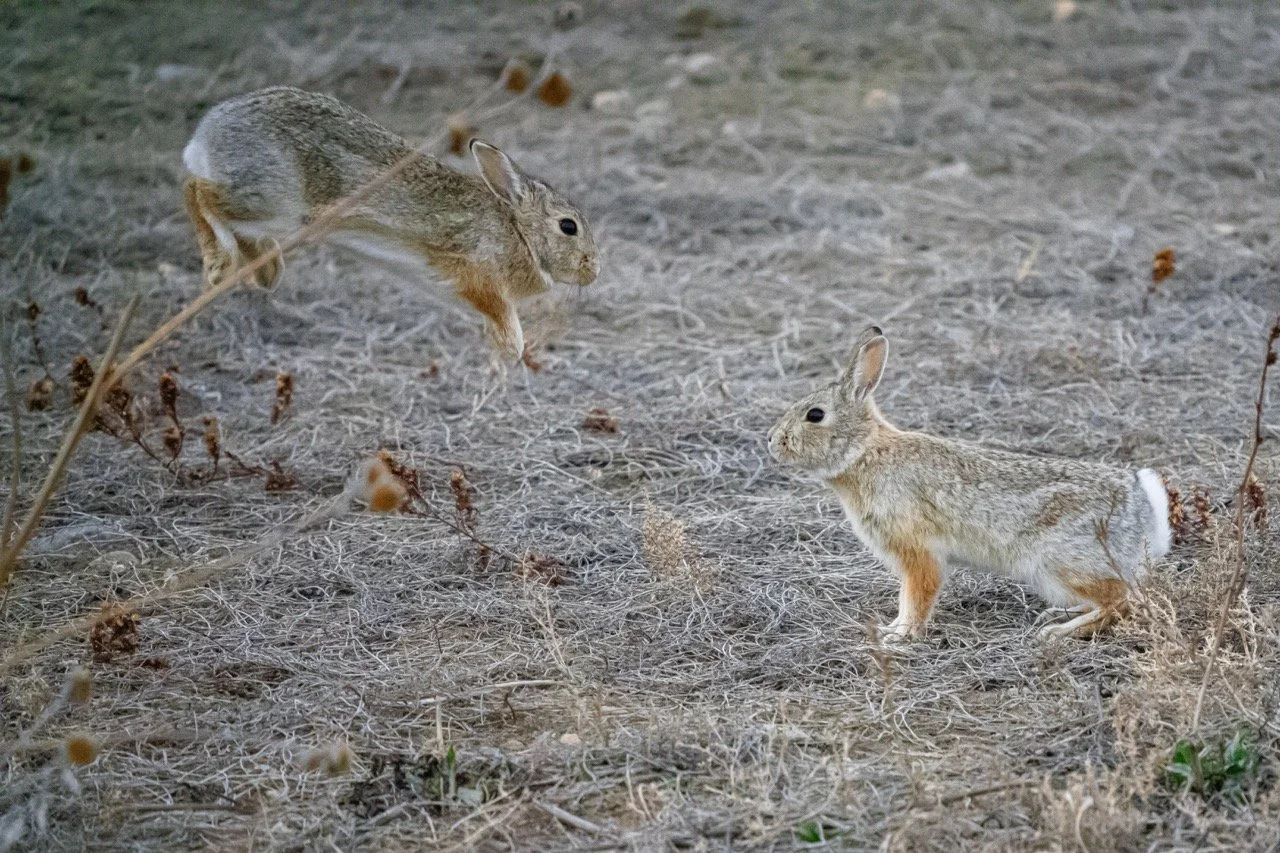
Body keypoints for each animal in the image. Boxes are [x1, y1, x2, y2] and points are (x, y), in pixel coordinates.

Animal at [181, 86, 600, 361]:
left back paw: (265, 269)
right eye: (568, 227)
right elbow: (501, 314)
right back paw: (218, 264)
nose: (593, 271)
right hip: (276, 199)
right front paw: (510, 352)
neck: (519, 231)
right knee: (197, 190)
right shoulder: (476, 274)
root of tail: (206, 133)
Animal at [767, 326, 1171, 641]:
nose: (772, 442)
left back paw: (1058, 632)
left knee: (1123, 600)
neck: (865, 452)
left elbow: (917, 594)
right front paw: (893, 629)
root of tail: (1146, 510)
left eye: (815, 415)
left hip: (1058, 563)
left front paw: (898, 635)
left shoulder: (917, 550)